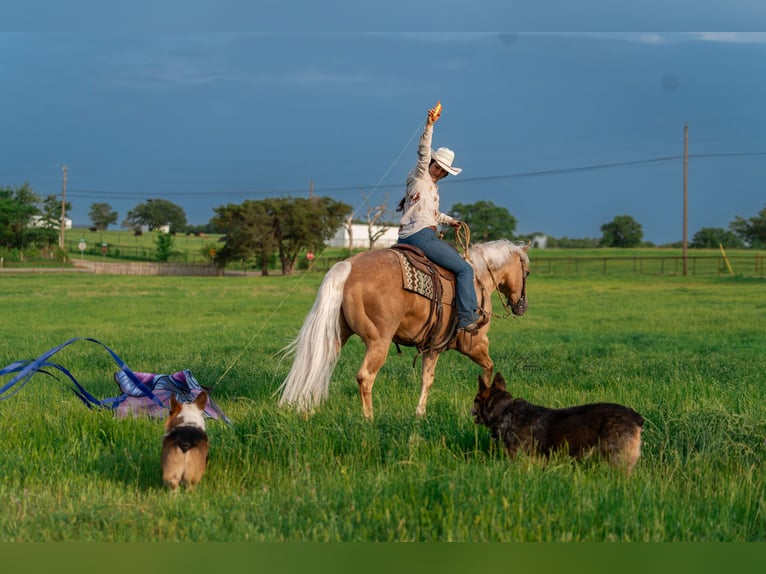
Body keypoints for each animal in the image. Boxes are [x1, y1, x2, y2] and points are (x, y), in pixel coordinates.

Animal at [278, 239, 530, 418]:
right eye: (527, 272)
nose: (522, 306)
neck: (478, 278)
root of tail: (348, 266)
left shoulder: (432, 348)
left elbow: (427, 378)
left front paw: (420, 414)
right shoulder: (476, 344)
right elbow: (489, 368)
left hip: (337, 335)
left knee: (318, 365)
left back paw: (309, 410)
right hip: (378, 341)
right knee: (365, 377)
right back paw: (369, 420)